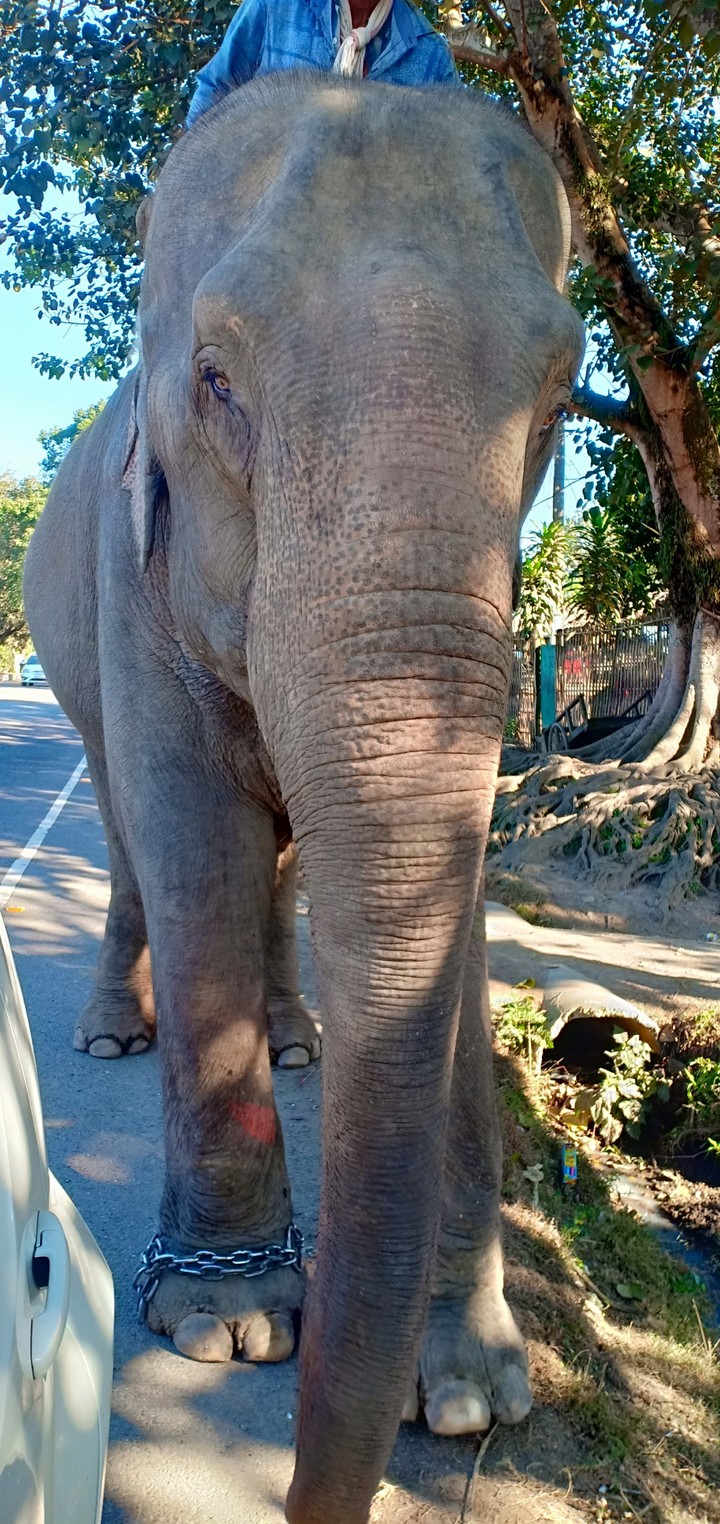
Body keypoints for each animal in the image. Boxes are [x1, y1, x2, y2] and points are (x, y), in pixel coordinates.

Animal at [24, 72, 583, 1524]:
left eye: (561, 396)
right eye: (216, 380)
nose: (297, 1494)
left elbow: (448, 914)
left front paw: (472, 1393)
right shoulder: (136, 580)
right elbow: (197, 852)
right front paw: (227, 1328)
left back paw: (295, 1042)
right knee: (134, 842)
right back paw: (113, 1034)